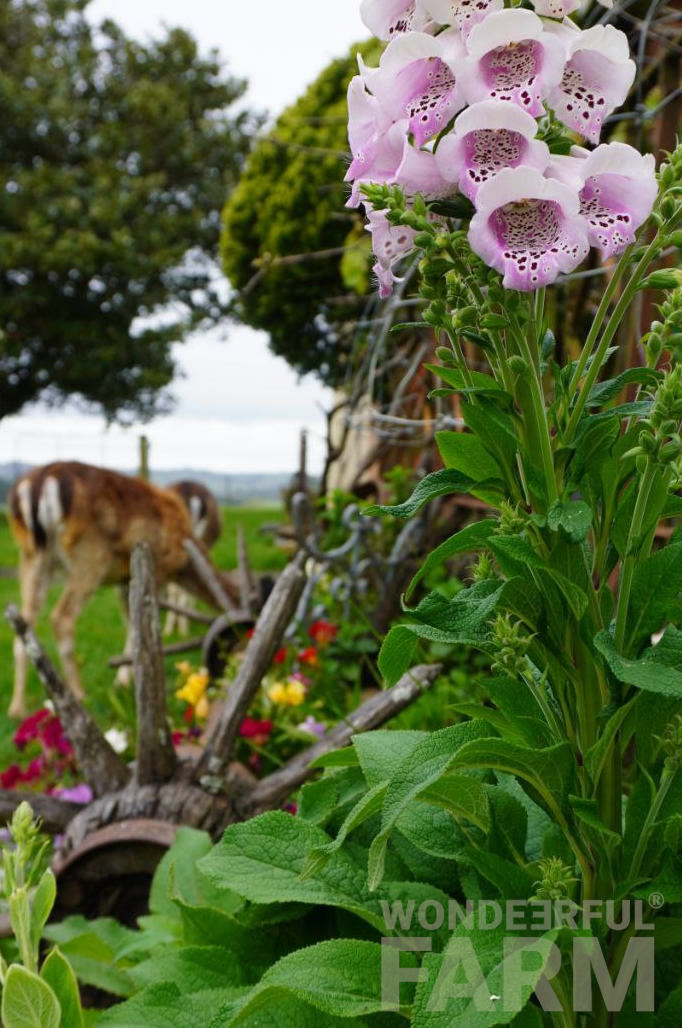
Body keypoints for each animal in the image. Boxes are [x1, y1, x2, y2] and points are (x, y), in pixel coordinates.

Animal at [7, 462, 239, 719]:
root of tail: (38, 485)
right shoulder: (158, 568)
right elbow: (143, 622)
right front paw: (127, 680)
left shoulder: (125, 578)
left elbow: (131, 623)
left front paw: (124, 679)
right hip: (90, 554)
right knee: (61, 617)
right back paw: (79, 694)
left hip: (31, 557)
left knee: (23, 622)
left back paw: (17, 709)